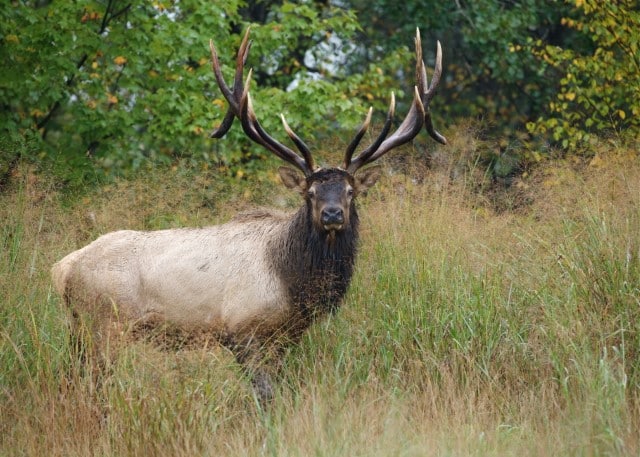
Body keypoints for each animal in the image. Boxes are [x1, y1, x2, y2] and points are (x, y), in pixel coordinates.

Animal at [51, 27, 444, 400]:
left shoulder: (287, 336)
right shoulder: (242, 330)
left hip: (79, 329)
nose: (332, 215)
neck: (293, 282)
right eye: (310, 193)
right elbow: (264, 395)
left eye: (350, 192)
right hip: (103, 325)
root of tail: (63, 268)